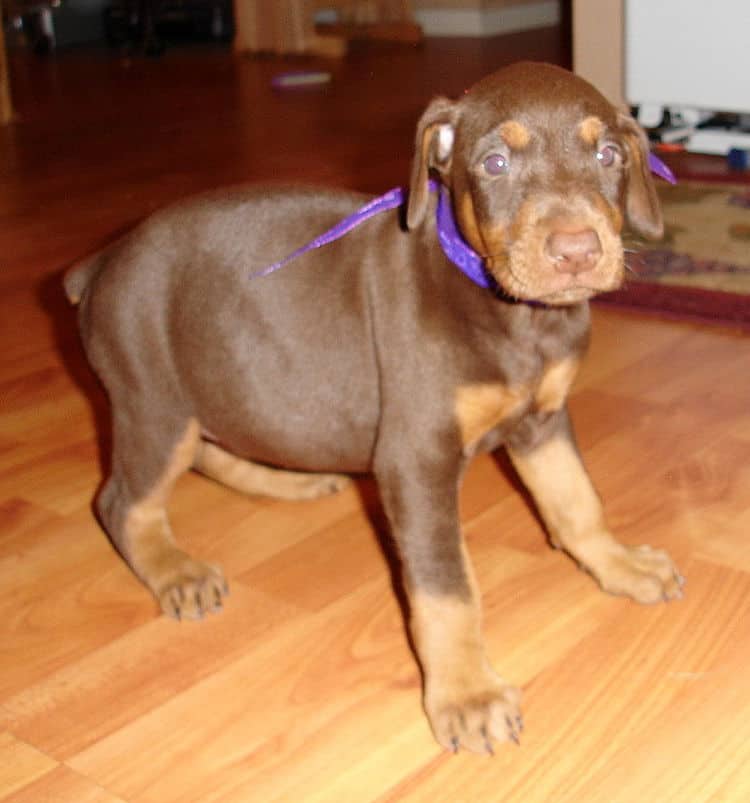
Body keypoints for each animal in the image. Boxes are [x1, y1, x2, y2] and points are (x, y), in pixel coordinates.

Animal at [67, 61, 684, 752]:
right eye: (494, 163)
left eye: (609, 156)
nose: (577, 251)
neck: (511, 315)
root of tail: (101, 263)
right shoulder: (416, 460)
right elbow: (447, 589)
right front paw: (467, 693)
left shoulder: (543, 423)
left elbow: (577, 502)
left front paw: (620, 564)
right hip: (154, 399)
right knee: (123, 501)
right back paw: (175, 571)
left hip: (212, 390)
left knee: (210, 449)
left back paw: (288, 482)